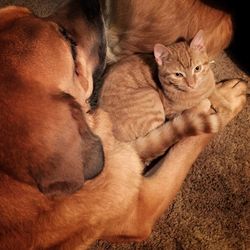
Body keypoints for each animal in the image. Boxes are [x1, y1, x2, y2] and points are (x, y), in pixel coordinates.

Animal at [0, 0, 247, 249]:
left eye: (29, 12)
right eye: (70, 44)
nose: (89, 3)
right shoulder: (141, 209)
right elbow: (188, 140)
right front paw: (225, 100)